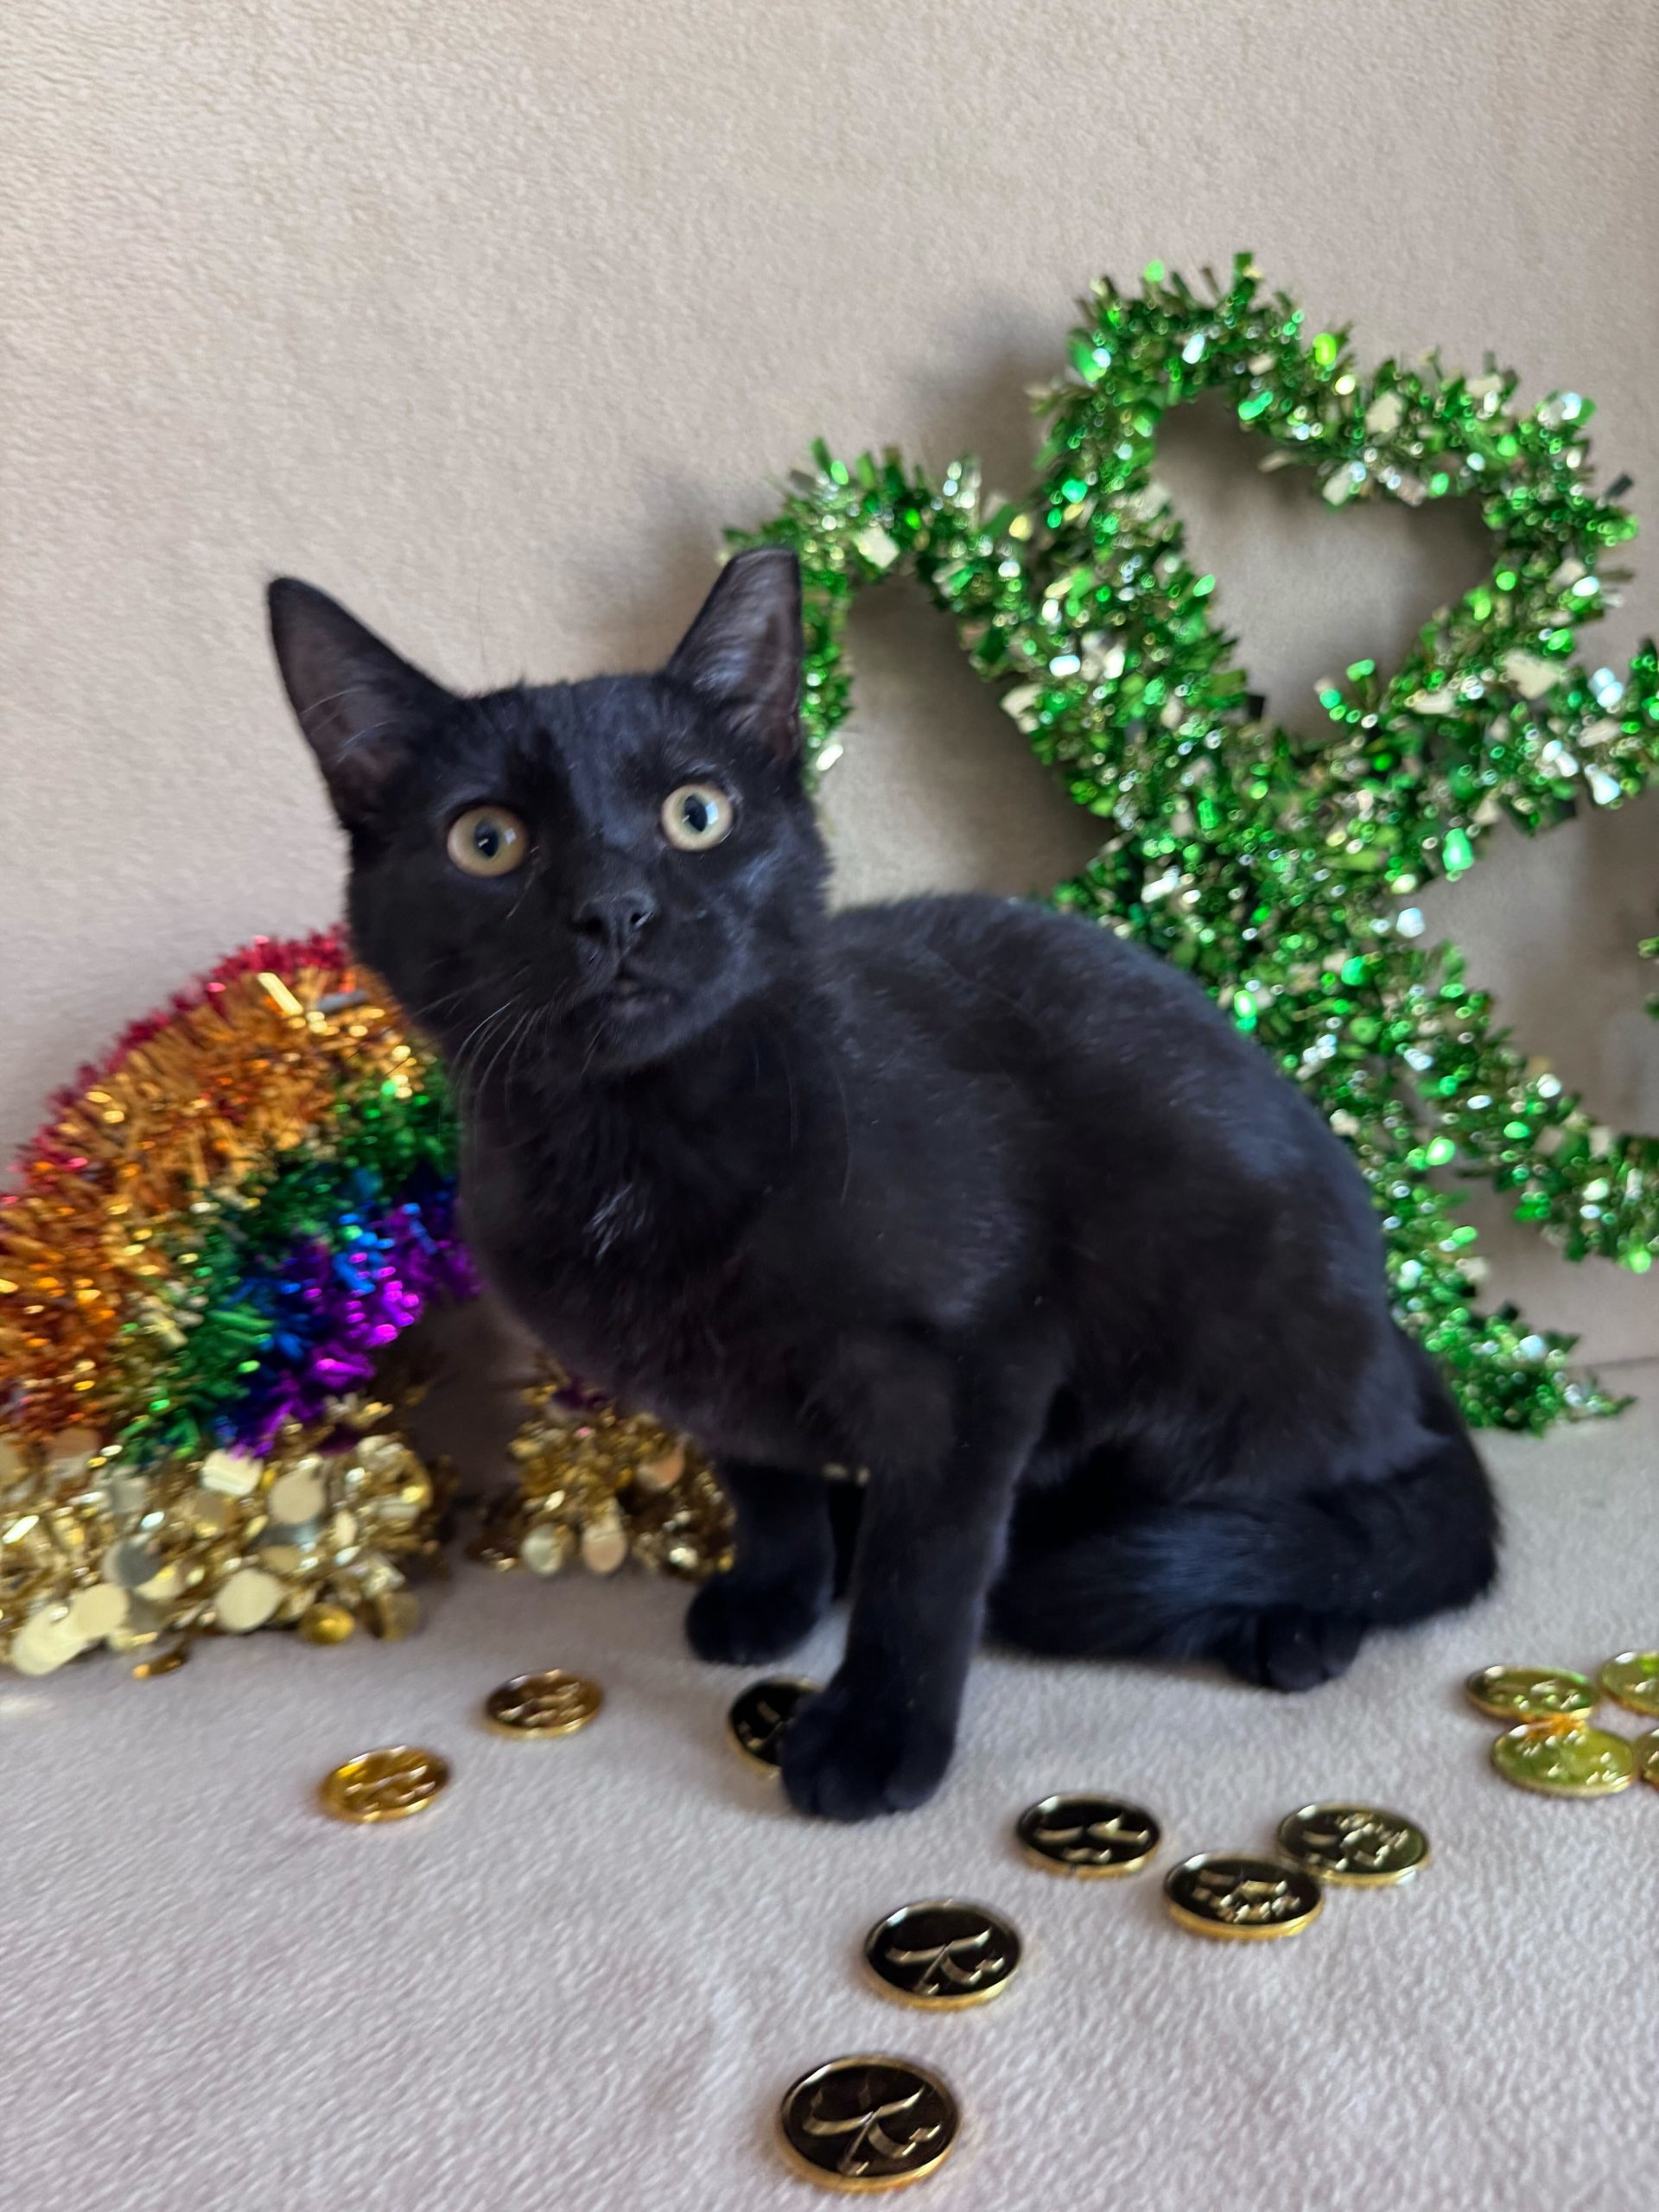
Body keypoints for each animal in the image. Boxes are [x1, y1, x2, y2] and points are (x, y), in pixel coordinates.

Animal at [269, 547, 1498, 1821]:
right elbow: (762, 1483)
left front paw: (878, 1729)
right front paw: (778, 1591)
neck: (641, 1138)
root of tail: (1393, 1333)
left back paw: (1291, 1618)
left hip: (1242, 1331)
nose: (615, 910)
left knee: (1352, 1494)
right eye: (487, 841)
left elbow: (929, 1560)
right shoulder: (714, 1370)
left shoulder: (981, 1363)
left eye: (697, 814)